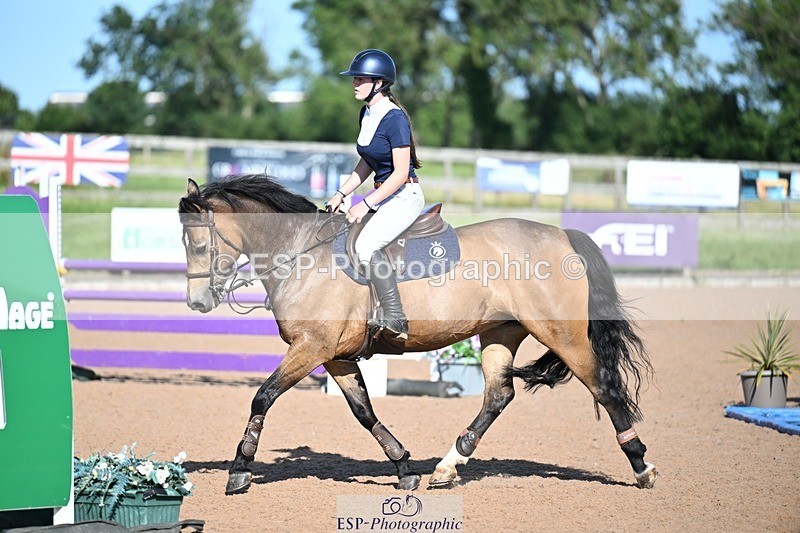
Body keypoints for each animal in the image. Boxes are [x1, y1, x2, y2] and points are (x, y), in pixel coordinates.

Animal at [178, 173, 657, 495]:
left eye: (198, 244)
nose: (197, 303)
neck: (301, 255)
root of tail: (561, 235)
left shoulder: (311, 347)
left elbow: (263, 397)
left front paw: (240, 468)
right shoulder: (334, 356)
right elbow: (364, 411)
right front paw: (404, 467)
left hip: (563, 334)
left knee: (604, 388)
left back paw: (641, 466)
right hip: (500, 333)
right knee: (498, 396)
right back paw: (447, 467)